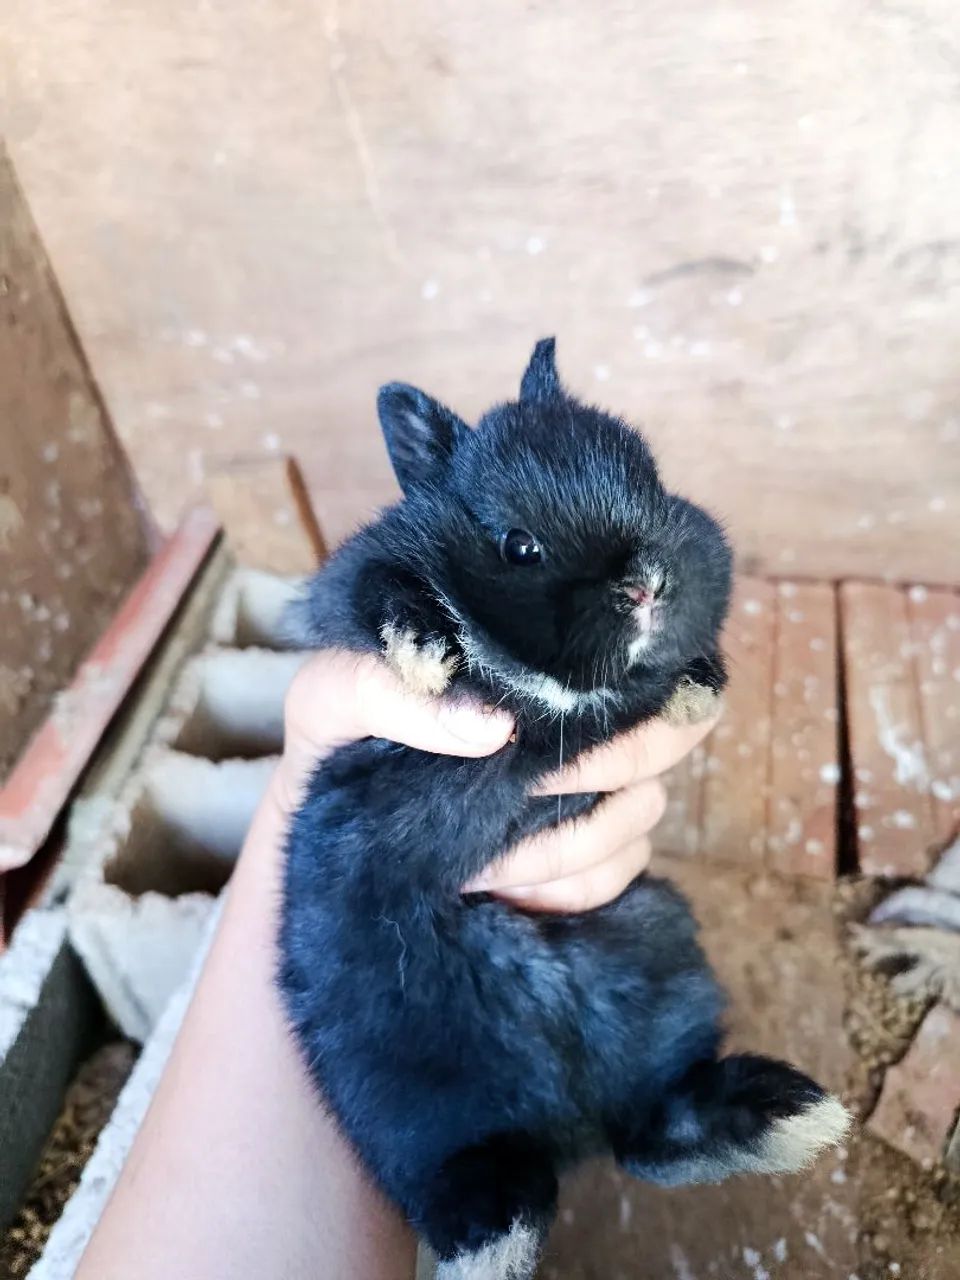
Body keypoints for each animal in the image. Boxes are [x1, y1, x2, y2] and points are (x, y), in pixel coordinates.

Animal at [278, 339, 850, 1280]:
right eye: (518, 543)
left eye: (652, 478)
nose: (647, 584)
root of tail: (568, 1124)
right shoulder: (354, 585)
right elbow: (381, 590)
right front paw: (429, 652)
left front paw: (696, 688)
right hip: (400, 1087)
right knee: (477, 1175)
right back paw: (493, 1239)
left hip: (658, 963)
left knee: (647, 1132)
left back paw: (787, 1116)